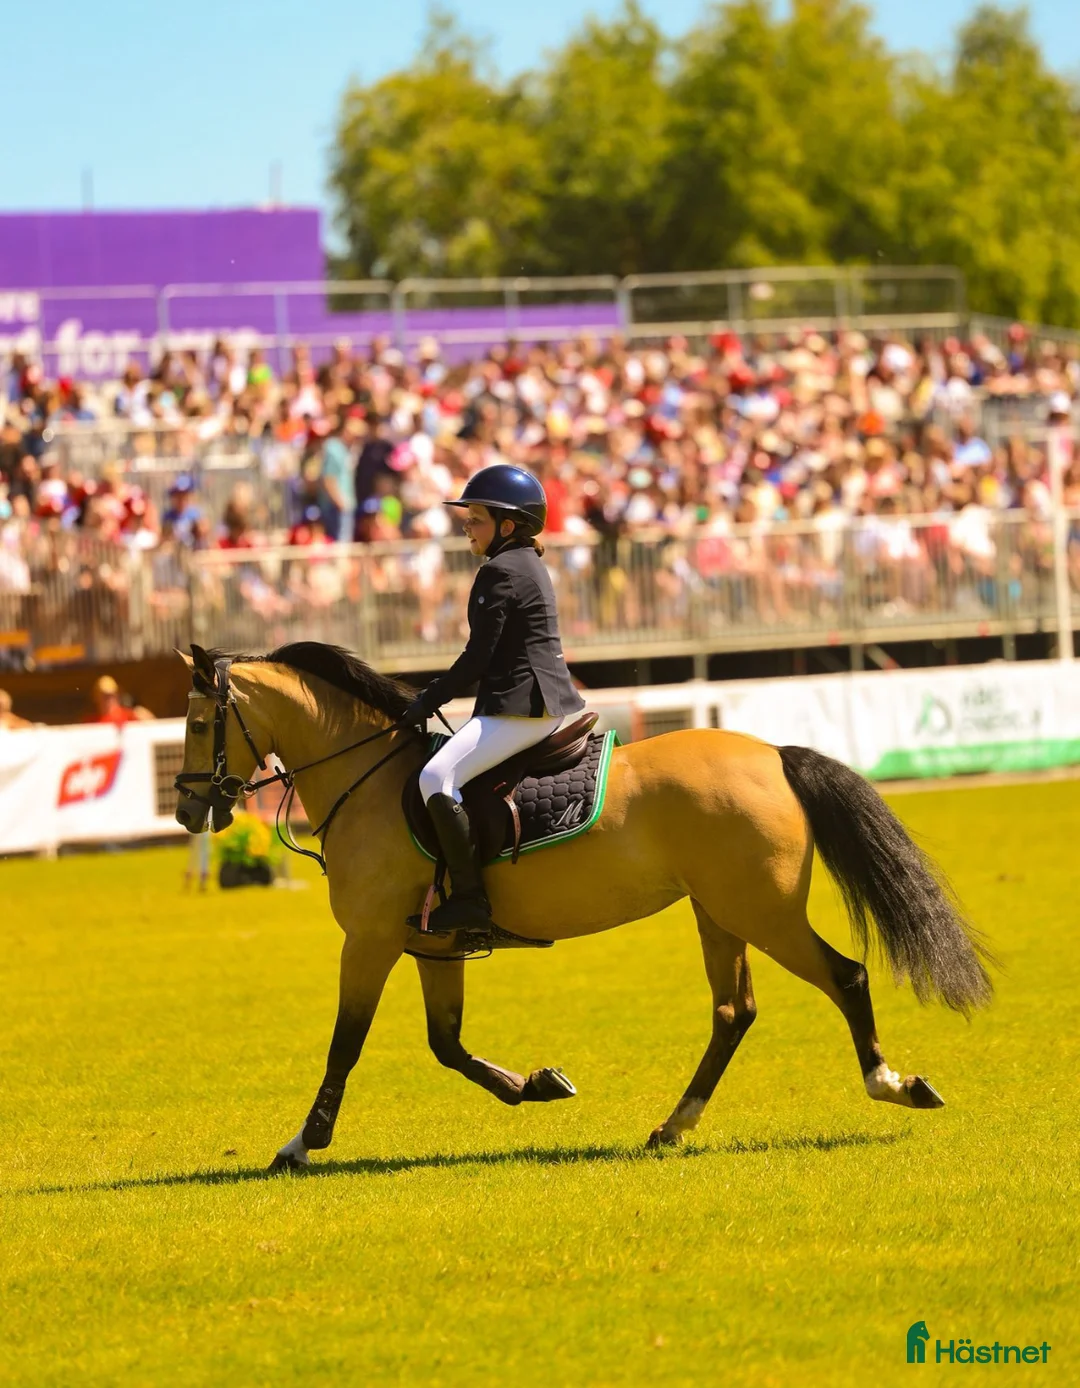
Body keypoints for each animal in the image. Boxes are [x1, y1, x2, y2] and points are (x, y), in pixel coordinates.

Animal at [173, 642, 994, 1172]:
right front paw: (537, 1085)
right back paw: (672, 1127)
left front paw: (300, 1144)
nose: (187, 810)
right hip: (721, 913)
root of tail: (772, 754)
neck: (368, 780)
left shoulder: (371, 940)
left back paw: (894, 1086)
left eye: (198, 722)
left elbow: (346, 1043)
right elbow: (446, 1044)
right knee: (734, 1012)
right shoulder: (432, 945)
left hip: (765, 914)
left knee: (845, 977)